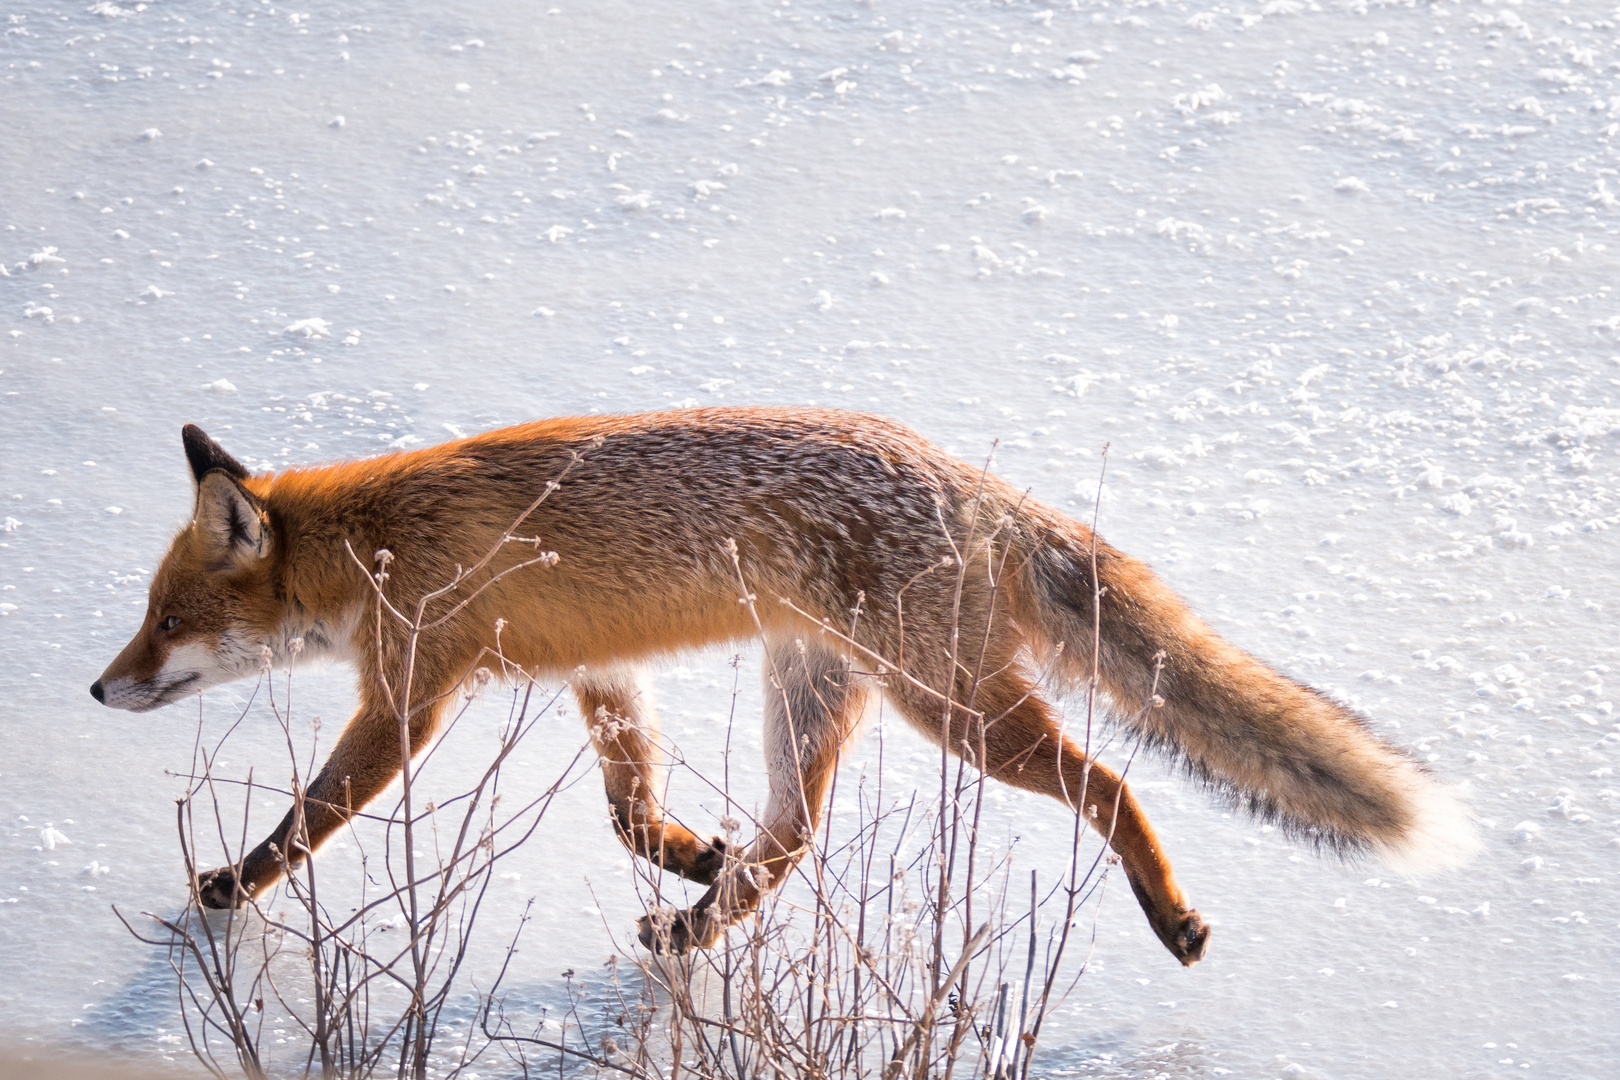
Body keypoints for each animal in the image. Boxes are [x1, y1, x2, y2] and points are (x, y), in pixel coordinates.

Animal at [91, 404, 1483, 965]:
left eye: (163, 622)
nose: (100, 690)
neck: (382, 541)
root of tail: (973, 483)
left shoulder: (407, 698)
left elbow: (313, 817)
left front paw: (227, 889)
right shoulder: (601, 672)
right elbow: (629, 810)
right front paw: (687, 857)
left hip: (955, 714)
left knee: (1110, 781)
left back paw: (1172, 914)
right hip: (817, 695)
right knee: (798, 836)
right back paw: (699, 924)